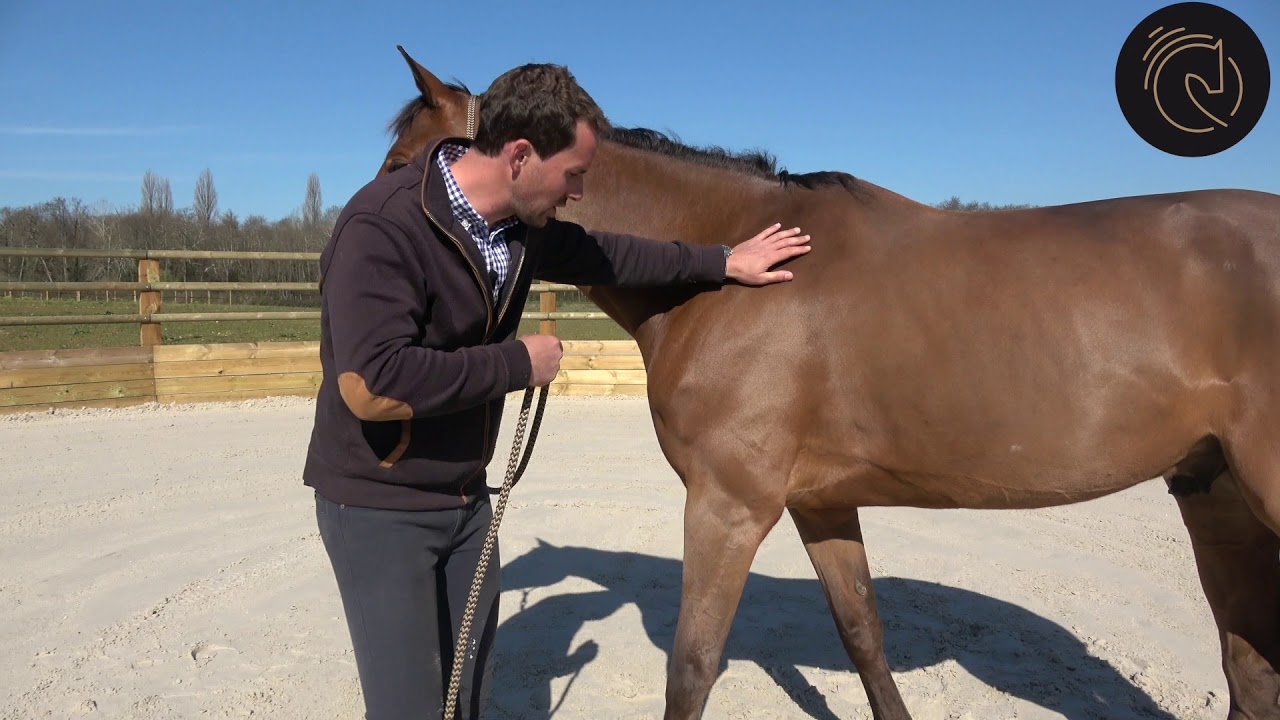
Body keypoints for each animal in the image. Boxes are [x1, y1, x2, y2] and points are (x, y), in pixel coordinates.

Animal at [378, 48, 1280, 720]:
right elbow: (862, 632)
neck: (733, 276)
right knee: (1250, 672)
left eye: (405, 162)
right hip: (1215, 496)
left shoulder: (729, 504)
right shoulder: (820, 503)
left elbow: (693, 666)